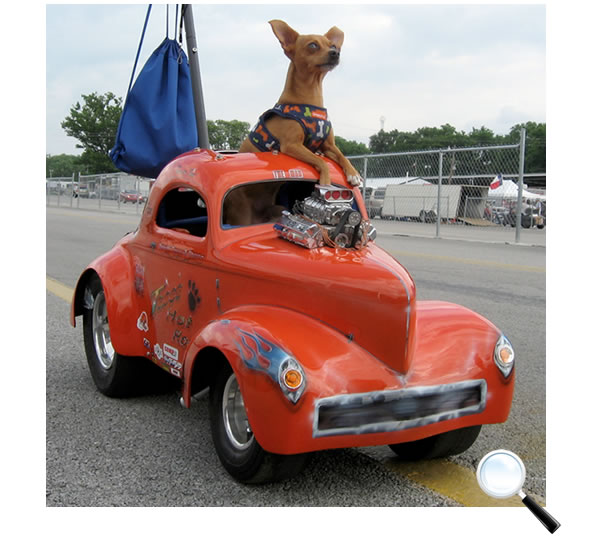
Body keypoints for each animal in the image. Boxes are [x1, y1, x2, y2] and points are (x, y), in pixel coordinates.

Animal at [225, 20, 364, 224]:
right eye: (313, 45)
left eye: (333, 45)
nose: (335, 53)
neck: (311, 99)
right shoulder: (292, 145)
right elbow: (320, 161)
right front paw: (325, 184)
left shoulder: (327, 145)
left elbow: (341, 155)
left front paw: (353, 174)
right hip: (241, 216)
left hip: (277, 208)